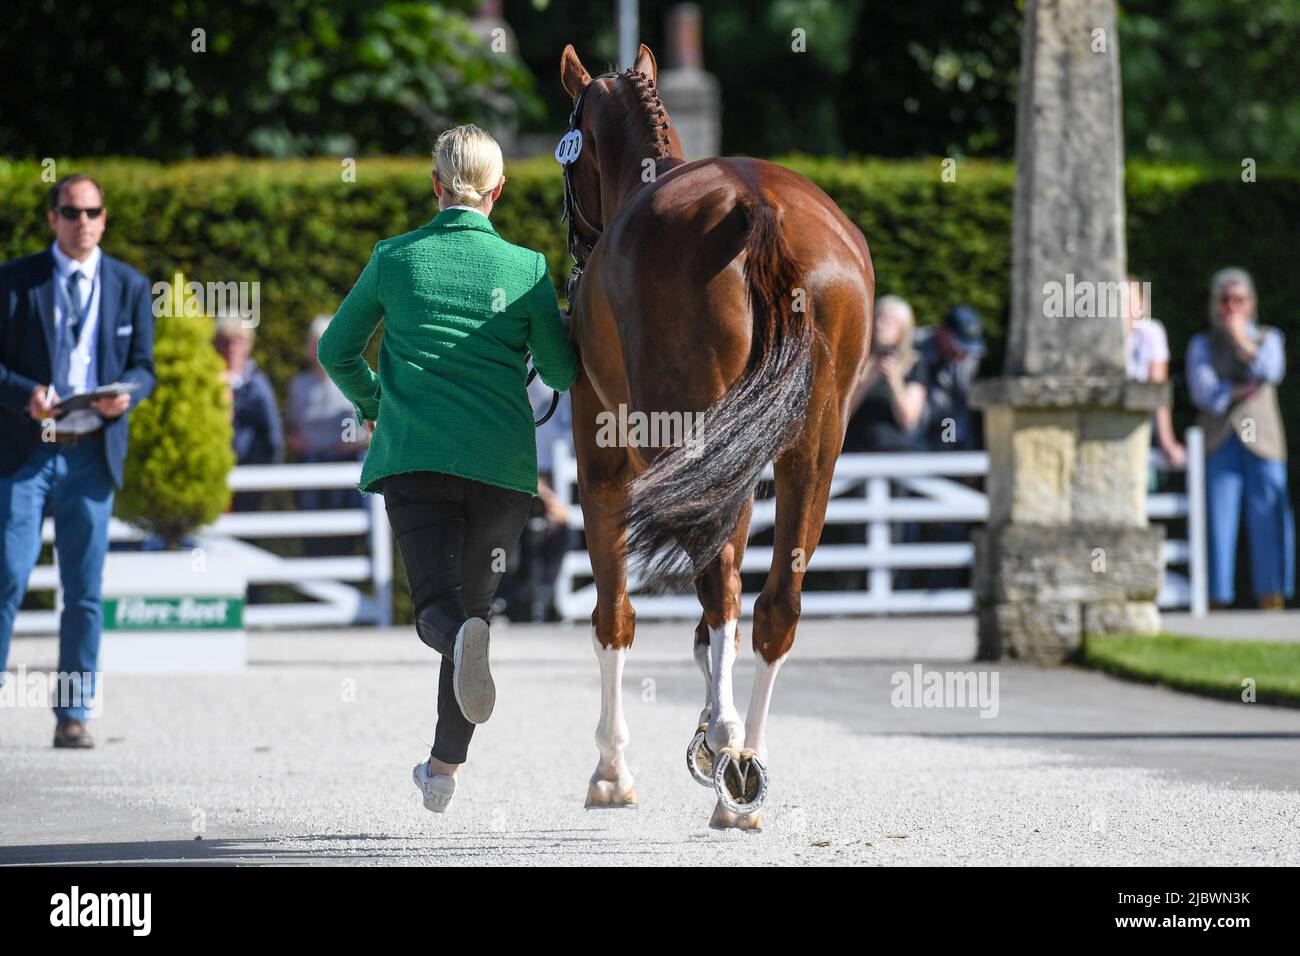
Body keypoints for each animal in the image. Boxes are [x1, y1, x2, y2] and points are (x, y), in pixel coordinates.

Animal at [559, 44, 873, 832]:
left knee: (721, 590)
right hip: (810, 453)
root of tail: (758, 207)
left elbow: (614, 614)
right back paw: (745, 767)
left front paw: (612, 770)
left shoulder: (603, 461)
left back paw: (728, 750)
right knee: (772, 605)